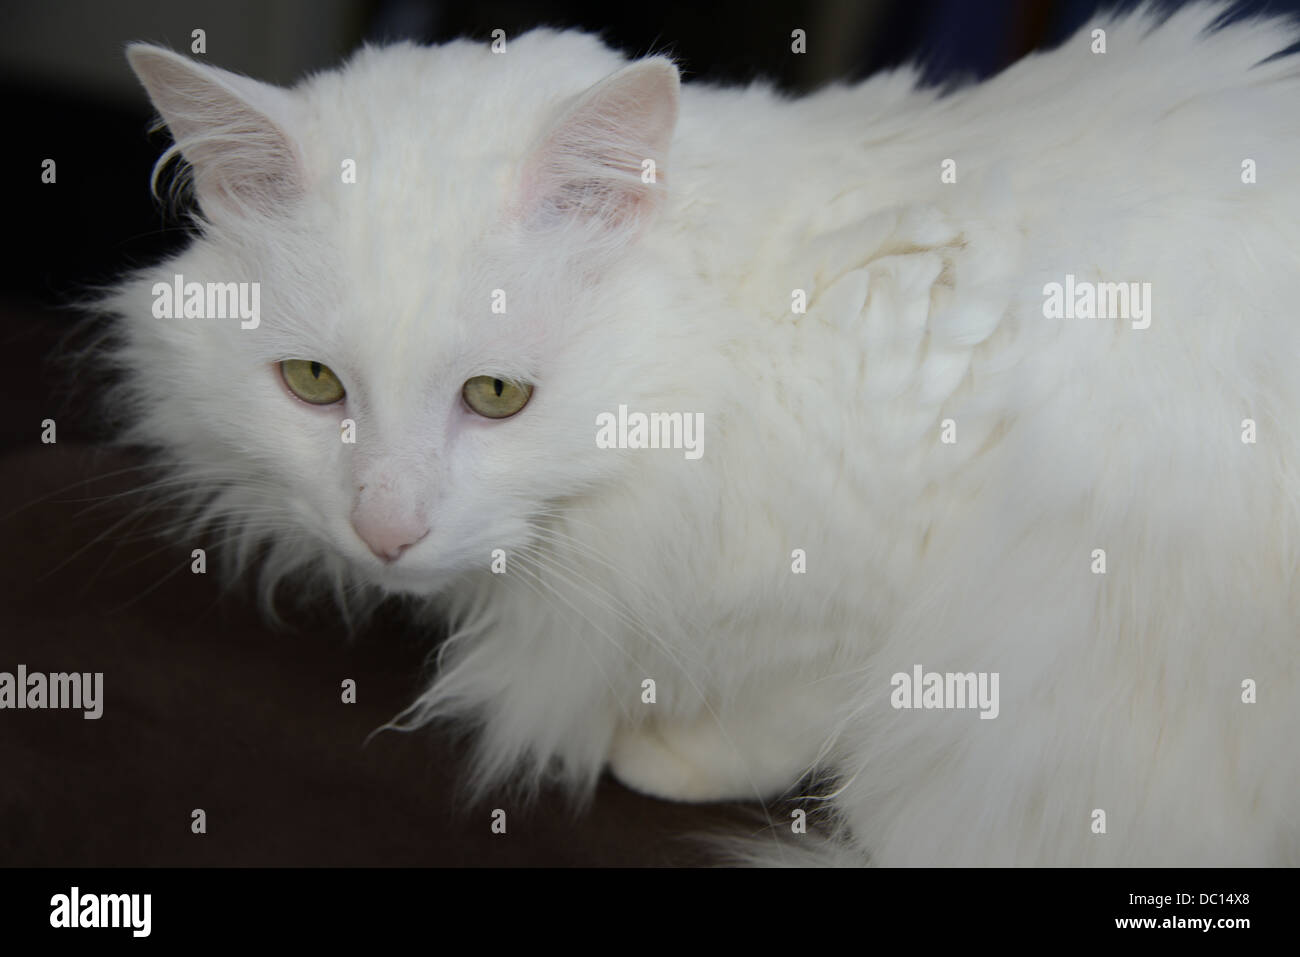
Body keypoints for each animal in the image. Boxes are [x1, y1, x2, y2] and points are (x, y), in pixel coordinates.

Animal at [109, 1, 1300, 868]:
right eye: (314, 385)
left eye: (496, 396)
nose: (384, 532)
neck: (747, 334)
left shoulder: (896, 532)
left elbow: (799, 702)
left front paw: (670, 756)